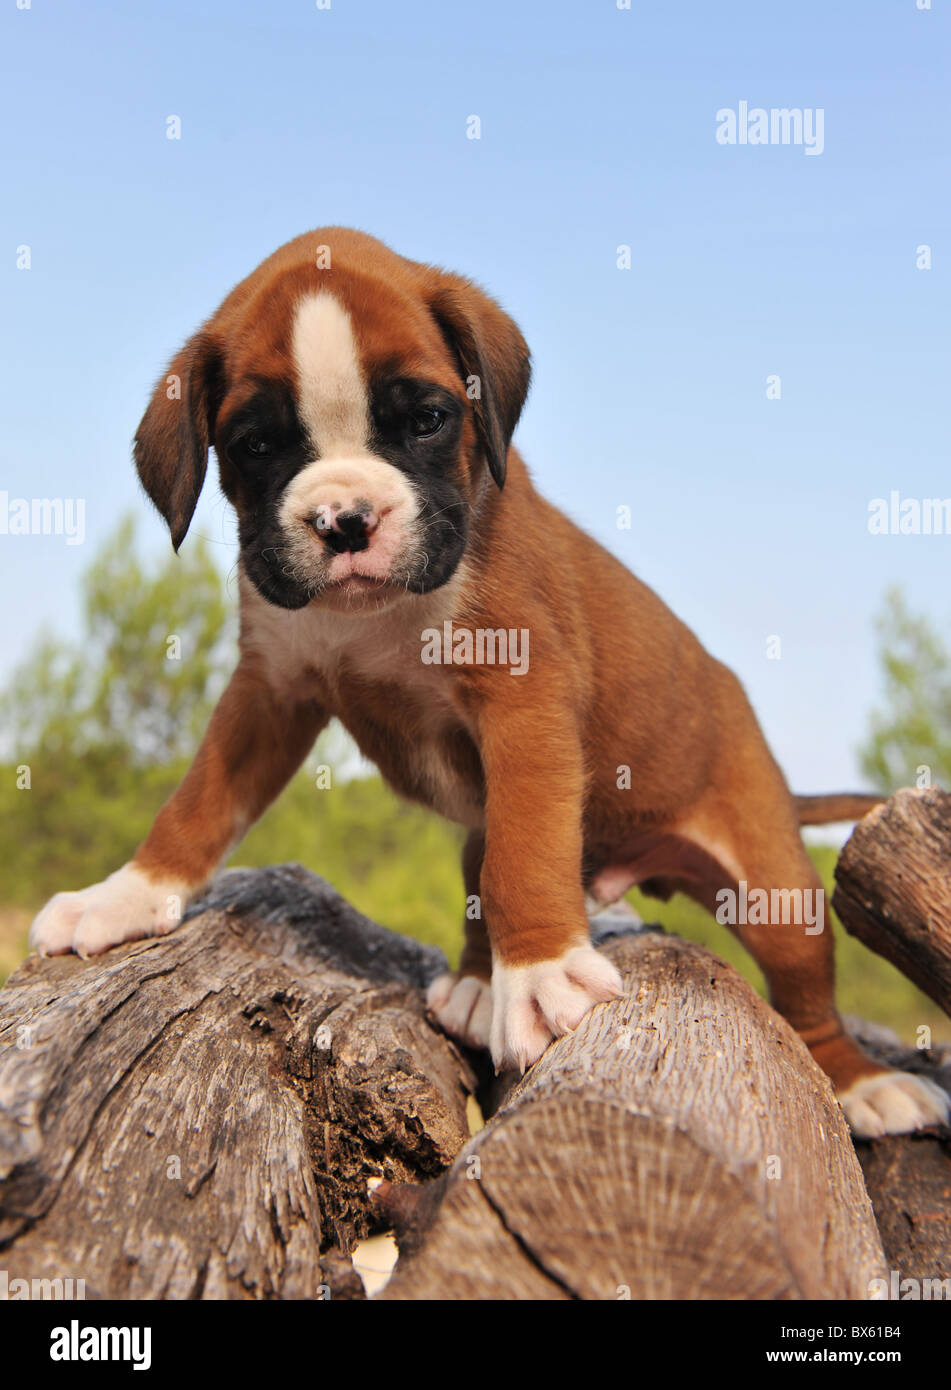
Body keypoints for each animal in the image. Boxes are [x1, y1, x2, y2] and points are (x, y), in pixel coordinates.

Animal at [26, 230, 945, 1139]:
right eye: (256, 446)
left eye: (426, 420)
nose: (344, 519)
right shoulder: (270, 693)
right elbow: (198, 802)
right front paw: (127, 894)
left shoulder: (521, 701)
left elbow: (525, 856)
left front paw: (537, 972)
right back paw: (475, 982)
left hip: (773, 889)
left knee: (803, 994)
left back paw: (864, 1085)